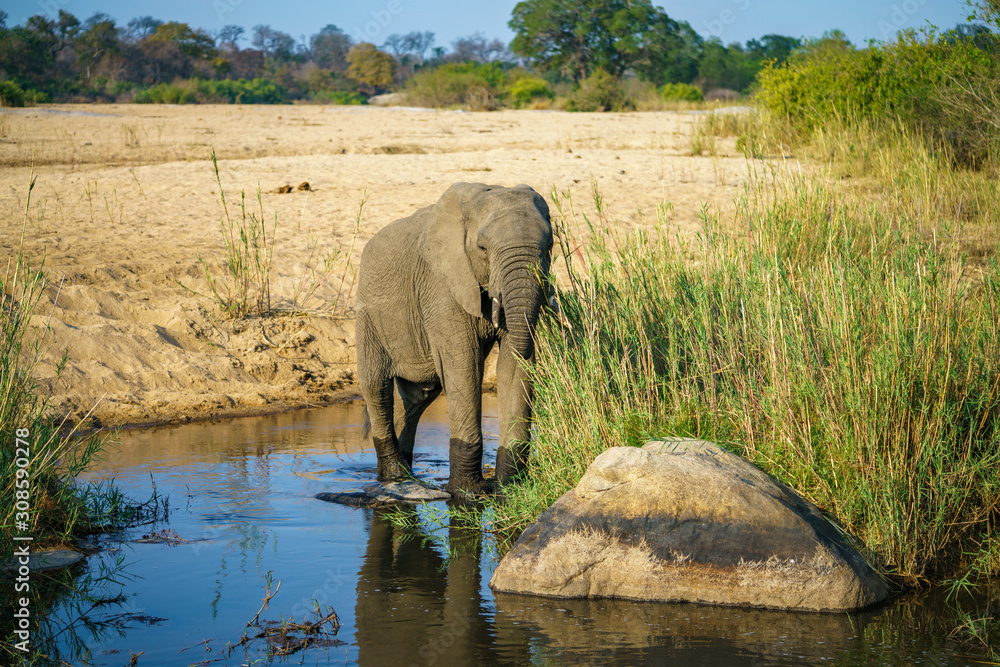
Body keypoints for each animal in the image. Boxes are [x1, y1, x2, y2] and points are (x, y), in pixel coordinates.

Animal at [356, 182, 554, 495]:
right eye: (483, 248)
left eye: (550, 247)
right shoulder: (441, 285)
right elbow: (465, 366)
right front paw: (468, 493)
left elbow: (515, 366)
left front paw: (509, 490)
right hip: (368, 316)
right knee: (376, 386)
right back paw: (394, 477)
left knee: (417, 396)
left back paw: (404, 475)